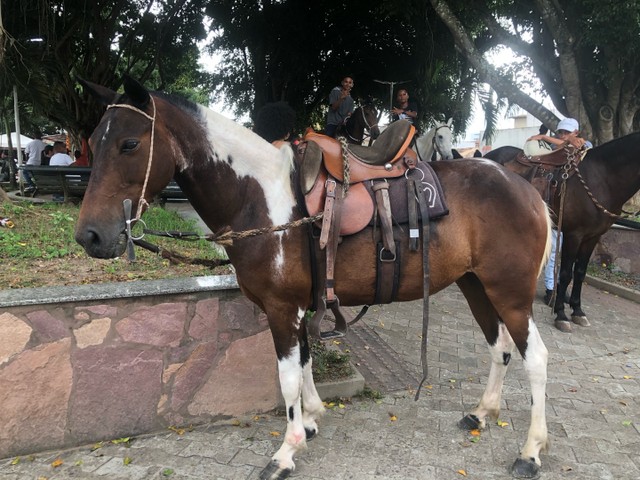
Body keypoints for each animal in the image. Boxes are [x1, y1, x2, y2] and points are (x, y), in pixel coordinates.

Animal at [75, 79, 552, 480]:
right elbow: (304, 363)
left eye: (130, 143)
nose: (90, 236)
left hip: (510, 294)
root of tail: (528, 189)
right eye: (94, 142)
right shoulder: (301, 307)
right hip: (476, 285)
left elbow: (287, 377)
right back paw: (481, 412)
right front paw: (310, 420)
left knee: (536, 359)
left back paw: (531, 451)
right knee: (499, 347)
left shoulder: (281, 308)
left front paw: (286, 451)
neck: (260, 200)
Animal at [484, 140, 640, 330]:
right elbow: (566, 273)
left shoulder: (592, 237)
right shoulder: (574, 234)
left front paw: (578, 311)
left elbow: (579, 273)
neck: (602, 178)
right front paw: (561, 314)